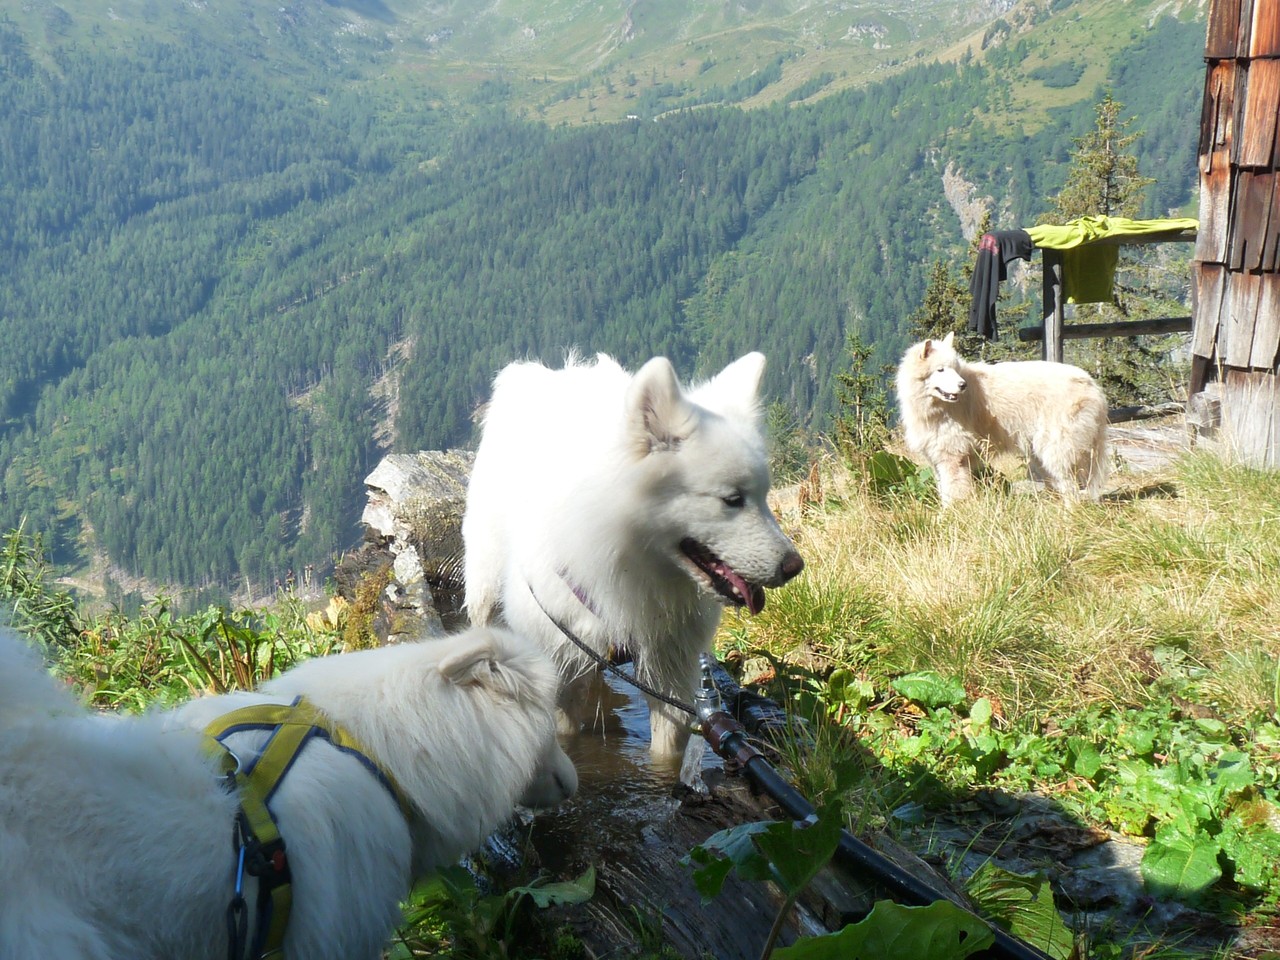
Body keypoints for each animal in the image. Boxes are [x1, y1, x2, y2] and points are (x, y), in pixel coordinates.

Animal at [462, 352, 804, 757]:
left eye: (764, 497)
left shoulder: (671, 671)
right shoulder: (560, 659)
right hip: (484, 582)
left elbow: (667, 748)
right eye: (732, 499)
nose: (795, 566)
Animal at [895, 332, 1109, 505]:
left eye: (955, 368)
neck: (933, 406)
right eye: (940, 370)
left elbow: (952, 495)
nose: (963, 385)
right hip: (1042, 456)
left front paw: (950, 518)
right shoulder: (938, 461)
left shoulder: (953, 459)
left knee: (1072, 489)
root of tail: (1092, 385)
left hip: (1056, 451)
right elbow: (943, 493)